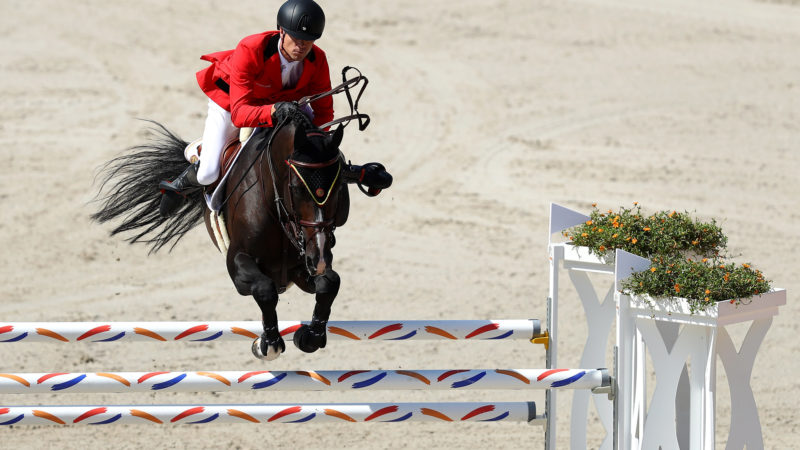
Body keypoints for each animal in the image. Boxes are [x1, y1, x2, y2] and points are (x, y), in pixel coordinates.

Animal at [92, 103, 348, 360]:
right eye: (296, 188)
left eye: (339, 187)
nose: (319, 258)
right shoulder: (237, 266)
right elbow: (265, 289)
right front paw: (268, 343)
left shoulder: (298, 268)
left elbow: (330, 282)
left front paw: (311, 336)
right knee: (203, 168)